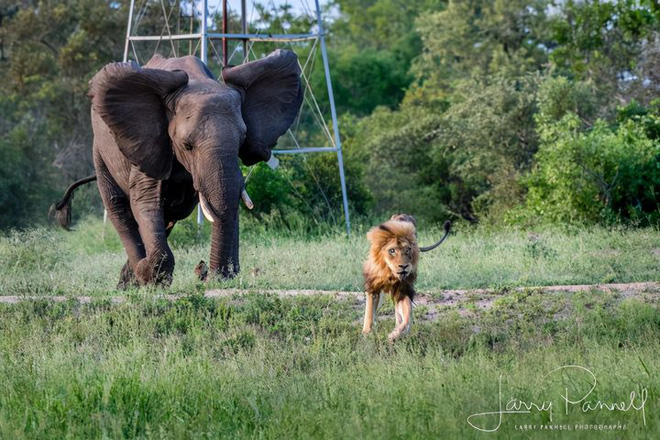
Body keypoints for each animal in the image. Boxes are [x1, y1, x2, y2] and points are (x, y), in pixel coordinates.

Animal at [52, 49, 304, 288]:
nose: (210, 277)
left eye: (242, 140)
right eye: (187, 145)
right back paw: (135, 274)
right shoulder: (149, 141)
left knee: (170, 213)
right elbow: (145, 199)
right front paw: (150, 275)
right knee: (118, 207)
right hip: (101, 151)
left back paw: (130, 279)